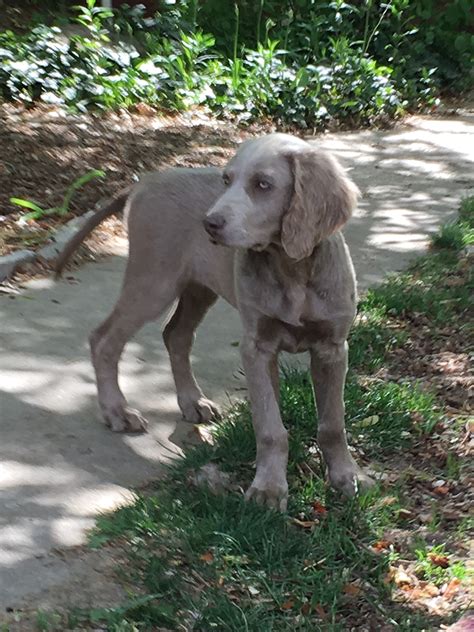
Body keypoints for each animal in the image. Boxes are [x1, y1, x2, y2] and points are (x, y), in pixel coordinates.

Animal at [56, 133, 374, 508]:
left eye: (263, 184)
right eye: (226, 180)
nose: (209, 223)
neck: (292, 269)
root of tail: (148, 179)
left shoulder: (333, 347)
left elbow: (332, 423)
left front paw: (347, 477)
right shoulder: (256, 347)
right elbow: (270, 426)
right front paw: (269, 488)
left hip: (198, 287)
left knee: (175, 335)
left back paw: (192, 402)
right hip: (154, 281)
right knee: (104, 338)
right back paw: (117, 411)